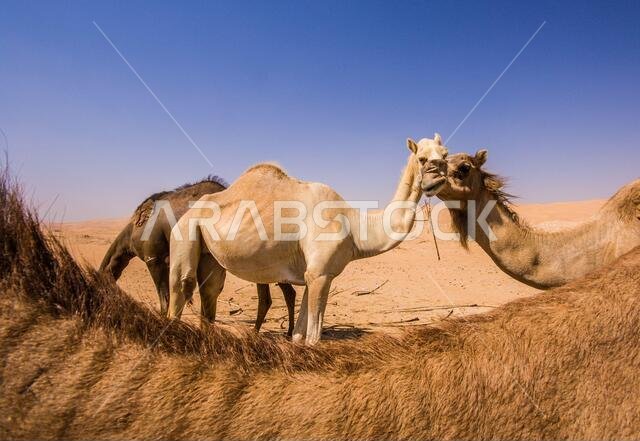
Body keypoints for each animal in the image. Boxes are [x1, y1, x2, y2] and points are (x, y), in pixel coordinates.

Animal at [168, 135, 449, 345]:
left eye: (445, 155)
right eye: (422, 159)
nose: (438, 178)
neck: (355, 229)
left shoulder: (313, 274)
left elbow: (299, 336)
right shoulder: (320, 274)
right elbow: (313, 338)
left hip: (210, 254)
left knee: (210, 291)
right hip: (184, 231)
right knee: (181, 288)